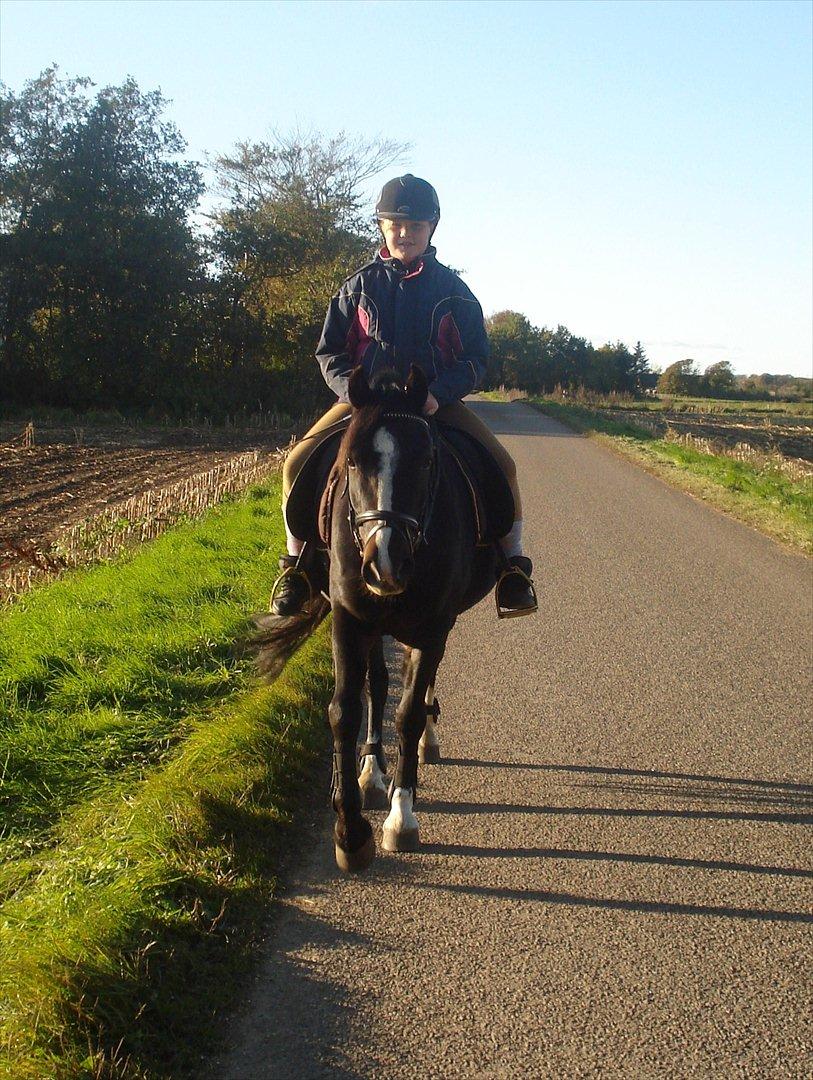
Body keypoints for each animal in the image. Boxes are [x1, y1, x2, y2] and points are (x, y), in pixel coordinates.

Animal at [256, 367, 494, 872]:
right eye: (351, 463)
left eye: (427, 461)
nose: (385, 563)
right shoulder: (349, 618)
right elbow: (345, 710)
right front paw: (350, 830)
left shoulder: (434, 625)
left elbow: (407, 713)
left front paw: (400, 817)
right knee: (380, 682)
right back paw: (370, 773)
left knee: (417, 687)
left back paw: (422, 745)